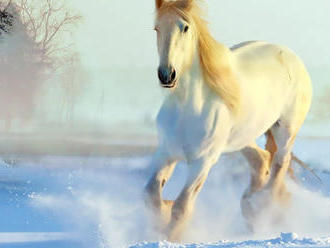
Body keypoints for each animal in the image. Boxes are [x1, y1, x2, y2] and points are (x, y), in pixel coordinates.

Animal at [144, 0, 312, 241]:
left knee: (280, 162)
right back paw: (250, 207)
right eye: (156, 28)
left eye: (185, 28)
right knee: (261, 160)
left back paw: (263, 206)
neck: (188, 107)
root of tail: (290, 55)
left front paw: (171, 236)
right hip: (241, 138)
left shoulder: (203, 161)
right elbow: (151, 195)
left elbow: (182, 206)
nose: (167, 75)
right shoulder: (166, 153)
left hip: (285, 130)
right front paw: (161, 220)